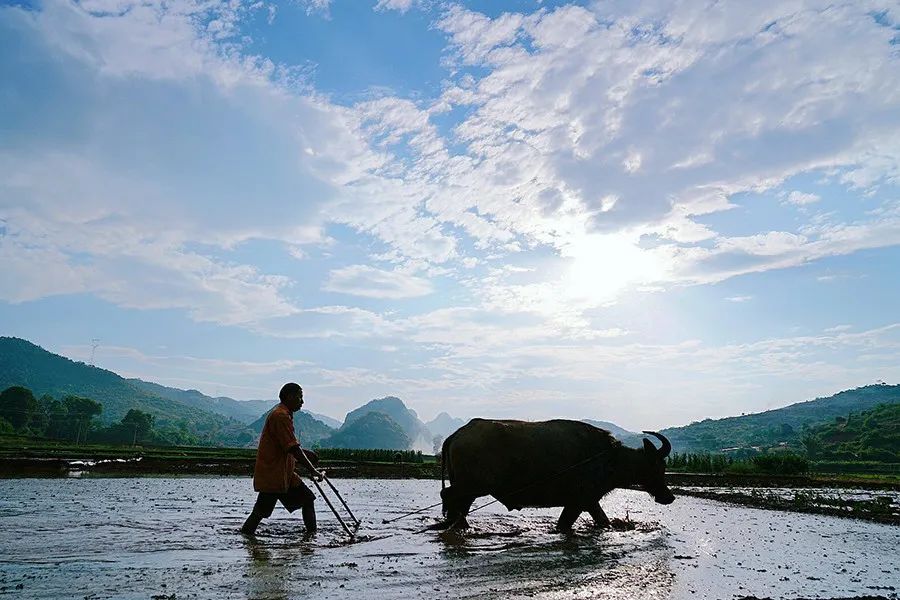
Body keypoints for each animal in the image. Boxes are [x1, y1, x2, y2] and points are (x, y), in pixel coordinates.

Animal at [430, 418, 676, 528]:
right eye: (658, 466)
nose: (669, 497)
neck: (608, 457)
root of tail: (457, 434)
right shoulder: (579, 501)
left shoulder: (587, 502)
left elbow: (601, 521)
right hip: (473, 486)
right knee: (448, 496)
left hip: (469, 489)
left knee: (456, 505)